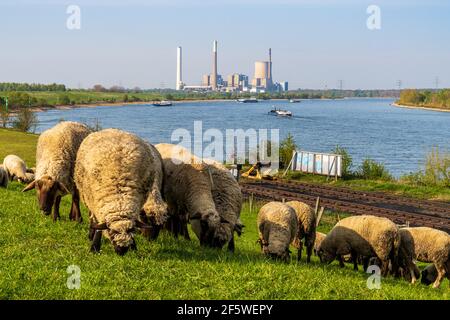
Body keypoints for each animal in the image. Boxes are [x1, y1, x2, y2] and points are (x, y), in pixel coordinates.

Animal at [75, 127, 162, 255]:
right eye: (112, 232)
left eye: (131, 231)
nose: (121, 251)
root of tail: (113, 130)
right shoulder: (96, 204)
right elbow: (98, 226)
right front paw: (94, 247)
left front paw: (134, 247)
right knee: (92, 217)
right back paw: (91, 234)